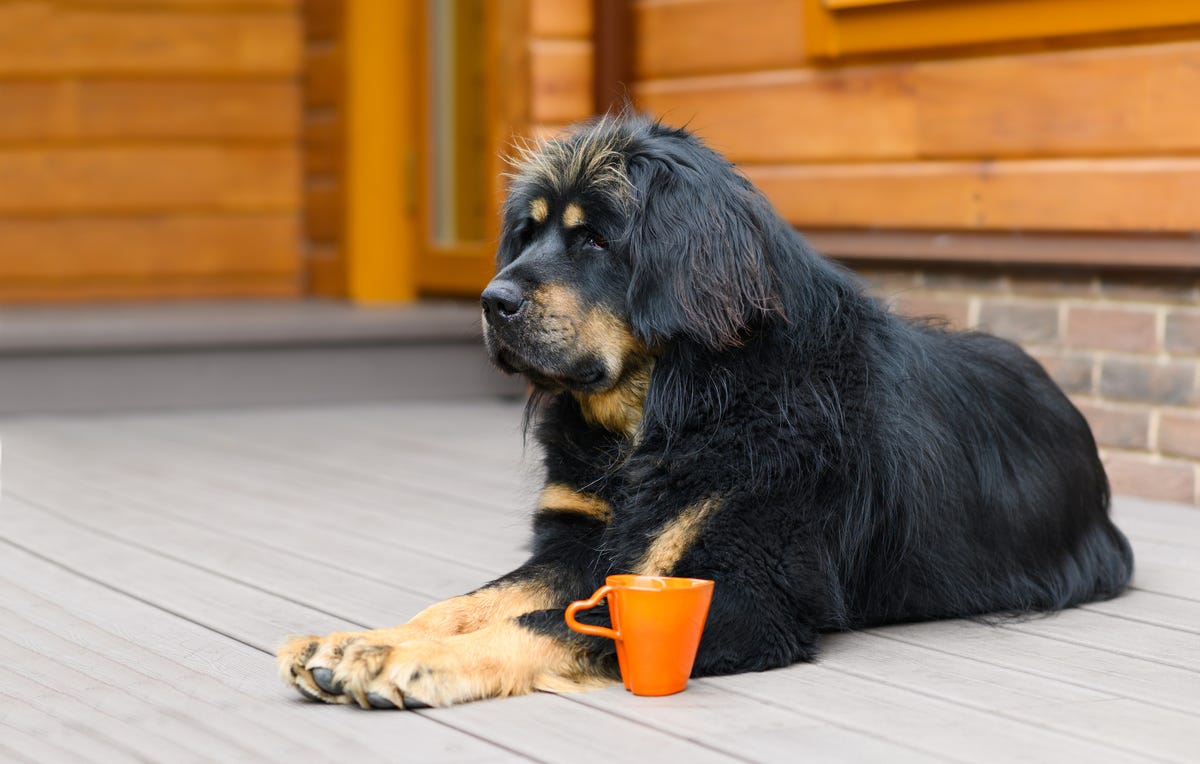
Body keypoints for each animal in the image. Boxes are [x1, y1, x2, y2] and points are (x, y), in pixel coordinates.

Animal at [274, 113, 1132, 710]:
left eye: (594, 242)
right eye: (528, 232)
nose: (492, 301)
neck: (664, 411)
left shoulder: (746, 594)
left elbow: (546, 624)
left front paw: (410, 662)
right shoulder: (581, 544)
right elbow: (467, 602)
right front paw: (357, 642)